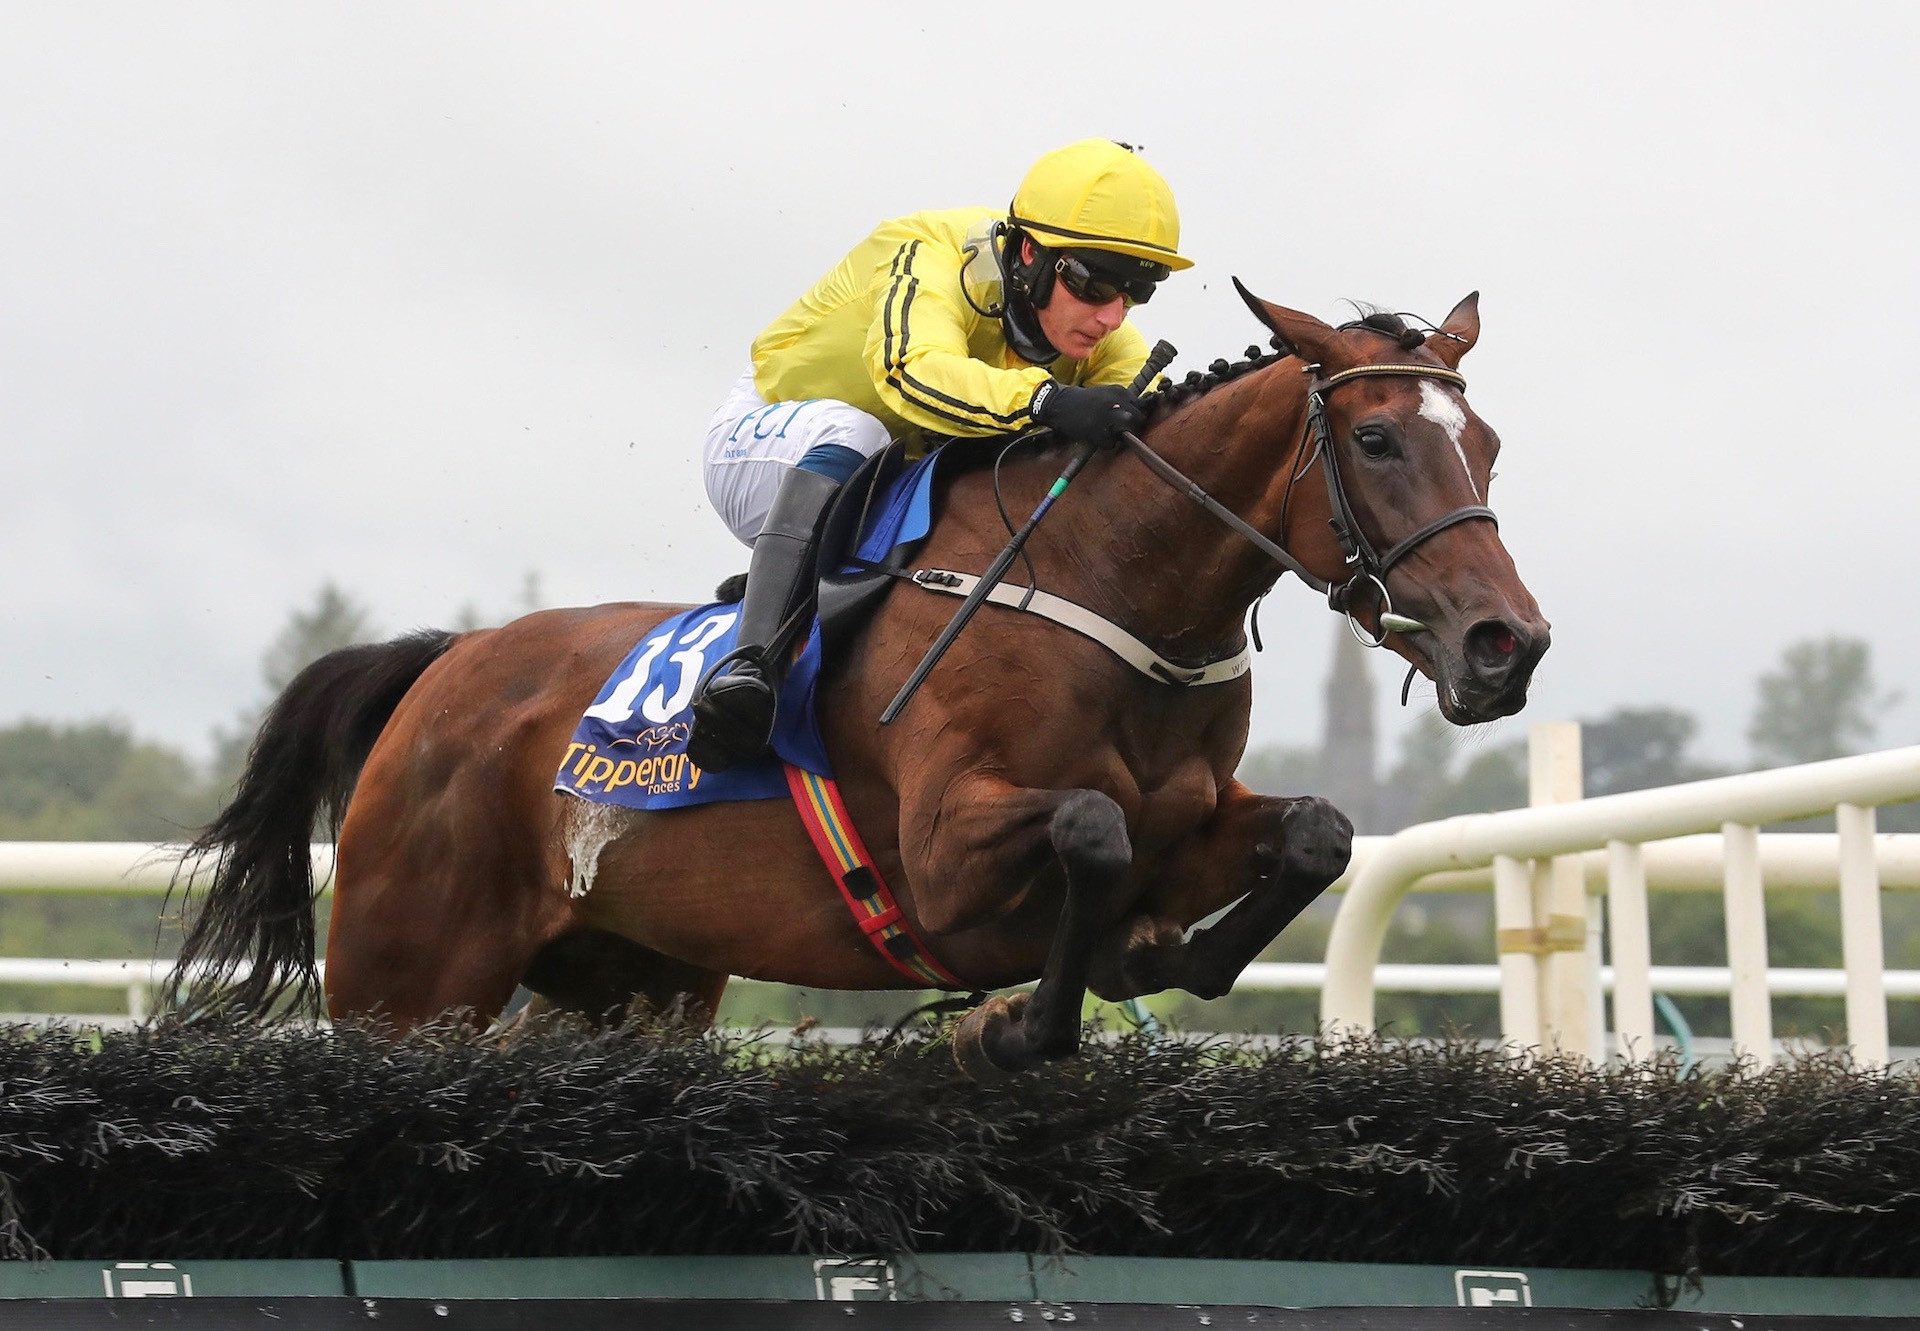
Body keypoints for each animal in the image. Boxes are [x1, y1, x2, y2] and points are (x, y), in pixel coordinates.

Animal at [165, 286, 1543, 1075]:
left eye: (1484, 441)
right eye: (1376, 437)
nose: (1506, 643)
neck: (1108, 588)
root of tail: (444, 665)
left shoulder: (1197, 819)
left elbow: (1316, 833)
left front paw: (1152, 956)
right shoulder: (942, 858)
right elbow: (1091, 832)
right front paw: (1014, 1018)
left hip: (633, 980)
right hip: (405, 980)